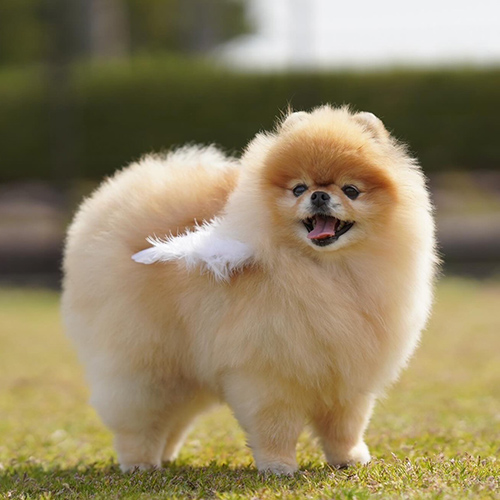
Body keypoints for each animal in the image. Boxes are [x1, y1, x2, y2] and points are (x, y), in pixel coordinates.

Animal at [61, 104, 438, 472]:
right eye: (298, 189)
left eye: (351, 190)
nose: (318, 194)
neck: (328, 271)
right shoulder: (269, 370)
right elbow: (276, 425)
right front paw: (279, 466)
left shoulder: (347, 372)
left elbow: (345, 424)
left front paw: (349, 458)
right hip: (146, 363)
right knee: (139, 417)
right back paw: (140, 462)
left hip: (187, 367)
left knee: (175, 415)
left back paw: (165, 456)